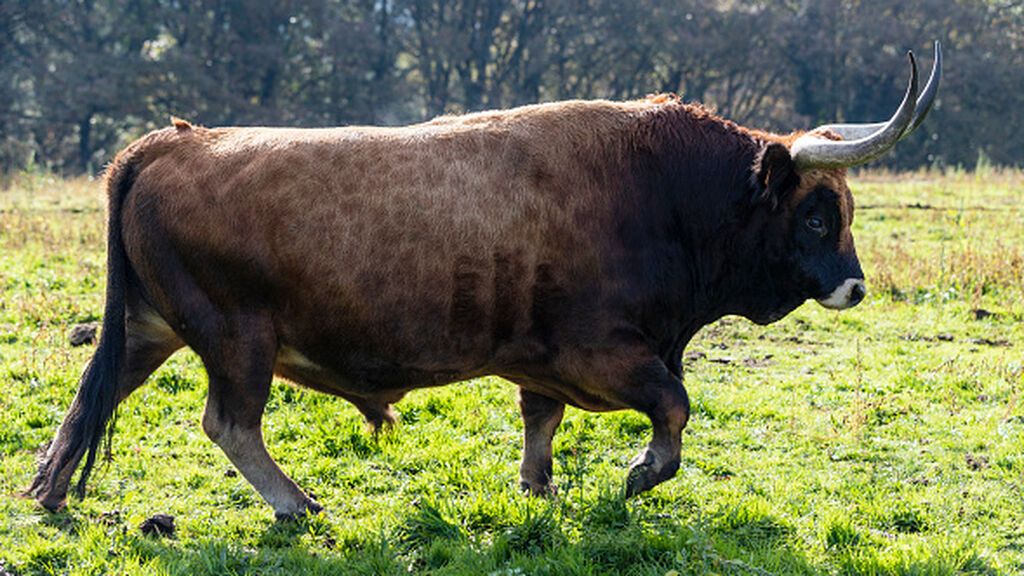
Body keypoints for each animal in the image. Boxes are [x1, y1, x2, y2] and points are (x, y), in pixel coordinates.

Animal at [29, 42, 942, 512]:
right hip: (235, 338)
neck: (663, 191)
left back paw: (48, 489)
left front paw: (538, 492)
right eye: (818, 215)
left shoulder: (543, 359)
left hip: (148, 329)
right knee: (229, 423)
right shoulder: (604, 350)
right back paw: (294, 502)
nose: (855, 285)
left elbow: (542, 424)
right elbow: (674, 406)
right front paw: (642, 472)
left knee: (91, 401)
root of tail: (172, 140)